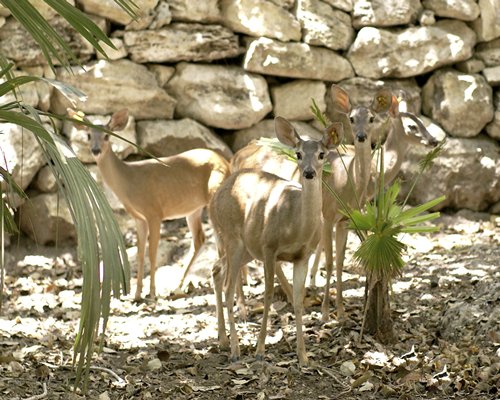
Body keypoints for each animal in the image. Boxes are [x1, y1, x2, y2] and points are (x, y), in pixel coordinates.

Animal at [67, 108, 231, 302]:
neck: (128, 181)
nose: (95, 150)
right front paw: (137, 294)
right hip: (194, 209)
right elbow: (139, 254)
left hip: (214, 195)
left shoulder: (154, 211)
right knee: (200, 239)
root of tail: (227, 163)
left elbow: (152, 253)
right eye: (88, 135)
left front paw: (152, 292)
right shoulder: (139, 218)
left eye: (107, 136)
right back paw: (179, 285)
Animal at [208, 115, 344, 366]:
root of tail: (214, 199)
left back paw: (222, 340)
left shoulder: (303, 255)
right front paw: (260, 350)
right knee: (228, 288)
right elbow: (269, 294)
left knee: (216, 269)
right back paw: (235, 350)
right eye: (298, 153)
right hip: (232, 237)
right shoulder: (269, 248)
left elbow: (298, 300)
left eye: (322, 154)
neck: (296, 226)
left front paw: (303, 356)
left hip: (246, 248)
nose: (308, 172)